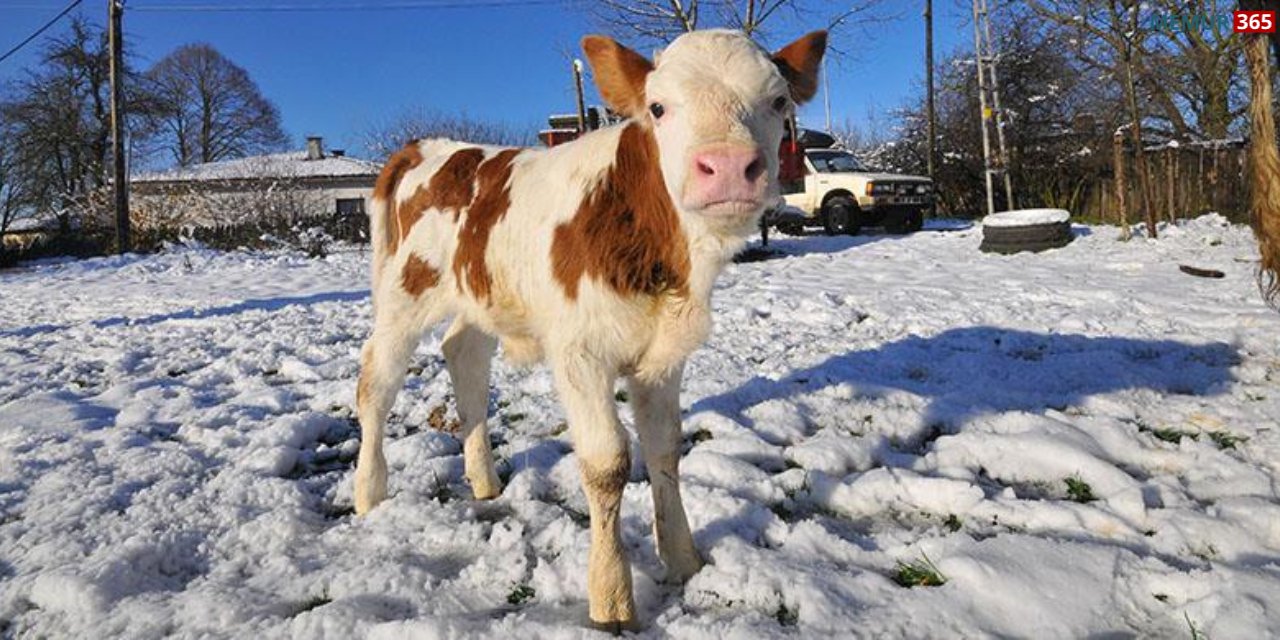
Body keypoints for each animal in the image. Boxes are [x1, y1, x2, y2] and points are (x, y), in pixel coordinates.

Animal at [350, 28, 829, 624]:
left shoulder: (663, 357)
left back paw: (483, 480)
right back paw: (369, 492)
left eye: (779, 102)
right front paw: (612, 597)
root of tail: (427, 147)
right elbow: (607, 464)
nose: (727, 165)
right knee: (376, 383)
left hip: (479, 294)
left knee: (465, 357)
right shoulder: (581, 356)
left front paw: (683, 559)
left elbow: (665, 449)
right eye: (658, 107)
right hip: (404, 294)